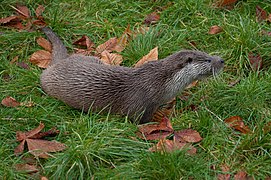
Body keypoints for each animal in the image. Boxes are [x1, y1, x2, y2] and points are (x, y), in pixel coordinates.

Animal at [39, 27, 223, 124]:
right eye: (208, 59)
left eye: (208, 53)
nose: (221, 60)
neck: (160, 83)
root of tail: (57, 64)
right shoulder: (140, 105)